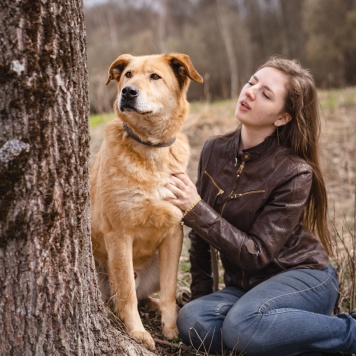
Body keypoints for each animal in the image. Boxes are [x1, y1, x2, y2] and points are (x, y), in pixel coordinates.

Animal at [90, 54, 203, 350]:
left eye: (155, 76)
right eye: (127, 75)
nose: (128, 92)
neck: (151, 148)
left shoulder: (174, 232)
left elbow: (170, 288)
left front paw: (171, 328)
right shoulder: (119, 235)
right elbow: (126, 294)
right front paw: (137, 332)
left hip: (151, 271)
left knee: (144, 293)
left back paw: (152, 305)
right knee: (118, 297)